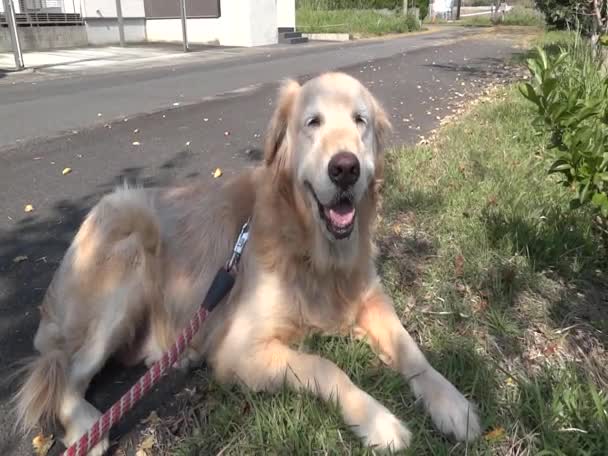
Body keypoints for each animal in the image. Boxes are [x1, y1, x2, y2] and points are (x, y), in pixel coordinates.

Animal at [13, 72, 480, 452]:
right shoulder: (241, 350)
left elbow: (412, 351)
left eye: (360, 121)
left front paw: (453, 403)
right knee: (66, 374)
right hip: (127, 239)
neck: (313, 248)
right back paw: (86, 428)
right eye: (313, 123)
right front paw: (378, 419)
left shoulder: (370, 301)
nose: (345, 169)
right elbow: (325, 367)